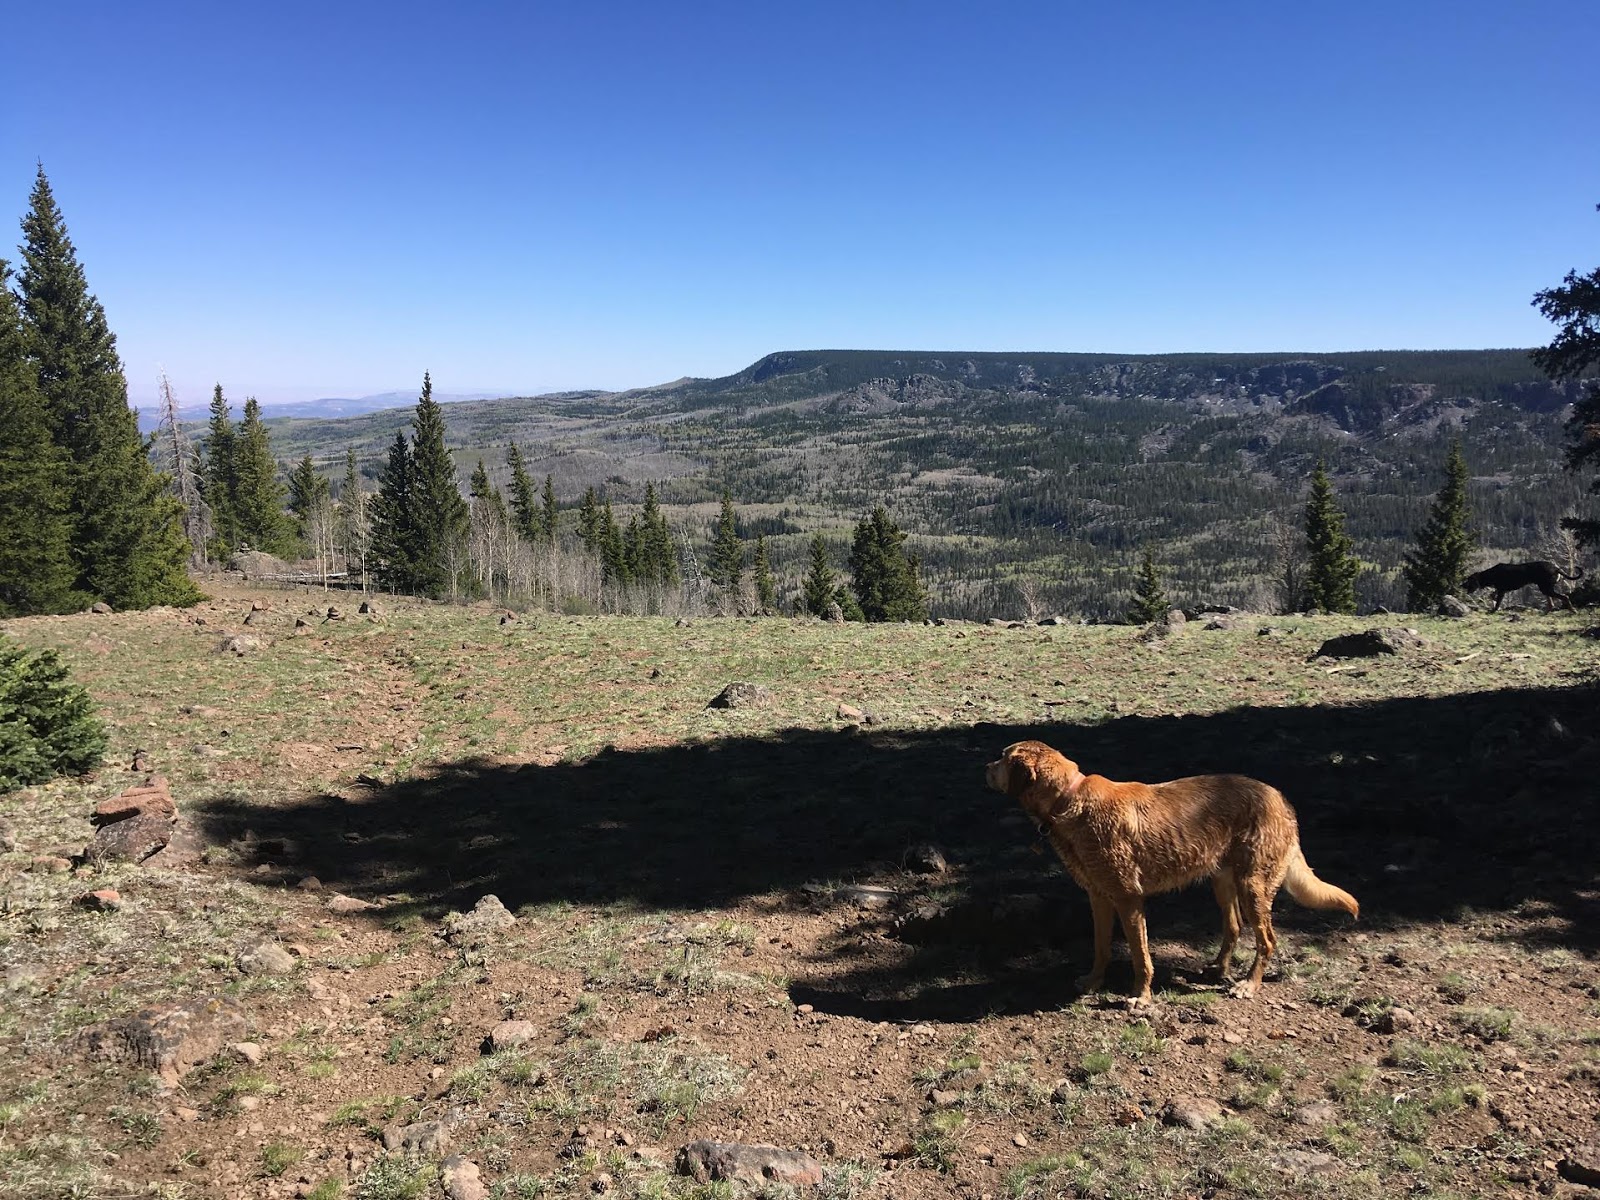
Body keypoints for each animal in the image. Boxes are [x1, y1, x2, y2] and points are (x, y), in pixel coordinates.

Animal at [979, 742, 1356, 1004]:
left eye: (1002, 757)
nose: (984, 766)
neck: (1067, 802)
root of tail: (1278, 795)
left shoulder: (1129, 899)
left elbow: (1140, 955)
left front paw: (1140, 997)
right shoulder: (1099, 897)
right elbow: (1101, 947)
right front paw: (1092, 983)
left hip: (1253, 886)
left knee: (1267, 940)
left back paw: (1248, 985)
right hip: (1223, 883)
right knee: (1233, 927)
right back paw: (1219, 968)